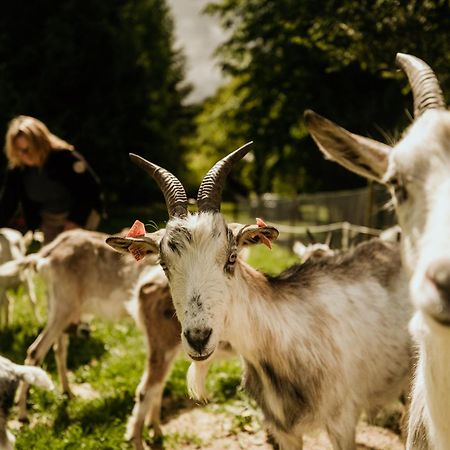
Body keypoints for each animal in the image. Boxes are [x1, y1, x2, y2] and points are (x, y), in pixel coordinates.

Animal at [106, 145, 414, 450]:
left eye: (232, 257)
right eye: (163, 264)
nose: (198, 338)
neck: (287, 333)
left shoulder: (343, 421)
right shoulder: (283, 429)